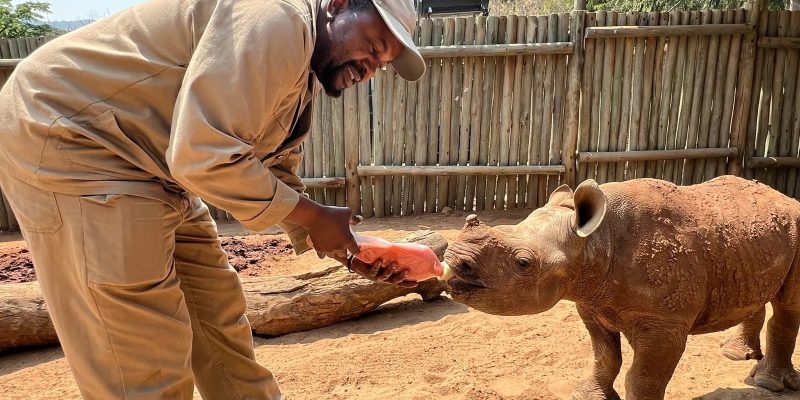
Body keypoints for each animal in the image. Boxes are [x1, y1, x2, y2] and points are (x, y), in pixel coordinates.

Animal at [443, 176, 800, 399]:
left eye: (523, 262)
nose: (454, 259)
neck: (597, 240)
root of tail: (785, 198)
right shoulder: (591, 302)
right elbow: (605, 357)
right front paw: (587, 395)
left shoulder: (666, 322)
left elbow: (642, 377)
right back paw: (735, 355)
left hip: (795, 227)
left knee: (787, 305)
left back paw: (767, 383)